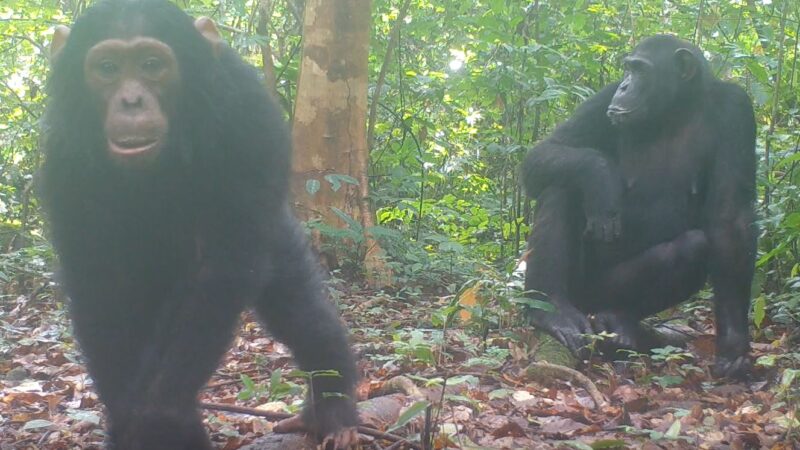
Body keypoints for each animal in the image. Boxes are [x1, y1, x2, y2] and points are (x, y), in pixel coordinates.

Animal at [39, 1, 360, 448]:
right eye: (107, 68)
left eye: (151, 64)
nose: (132, 100)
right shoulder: (64, 156)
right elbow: (100, 284)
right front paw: (137, 424)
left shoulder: (249, 119)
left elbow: (218, 271)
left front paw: (157, 422)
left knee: (299, 310)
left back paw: (332, 408)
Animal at [524, 36, 756, 380]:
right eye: (627, 69)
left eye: (641, 70)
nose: (624, 86)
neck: (675, 110)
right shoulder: (603, 98)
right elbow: (546, 150)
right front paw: (600, 177)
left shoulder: (737, 112)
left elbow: (731, 217)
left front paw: (734, 346)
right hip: (576, 285)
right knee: (561, 187)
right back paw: (551, 310)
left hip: (599, 292)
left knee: (693, 247)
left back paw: (620, 324)